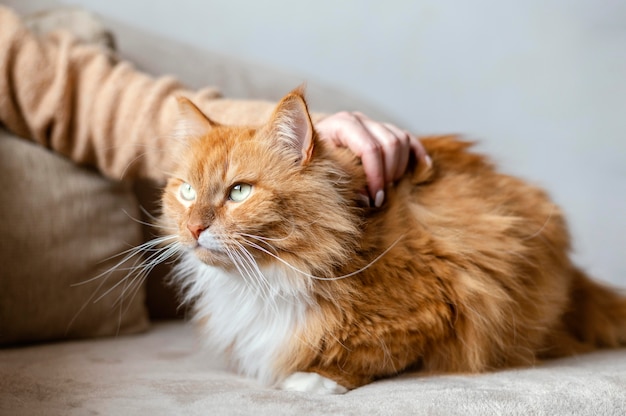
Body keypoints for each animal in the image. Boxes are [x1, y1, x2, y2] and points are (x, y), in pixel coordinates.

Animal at [157, 86, 626, 392]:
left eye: (239, 191)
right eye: (188, 192)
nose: (194, 228)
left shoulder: (452, 295)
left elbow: (372, 353)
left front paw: (314, 380)